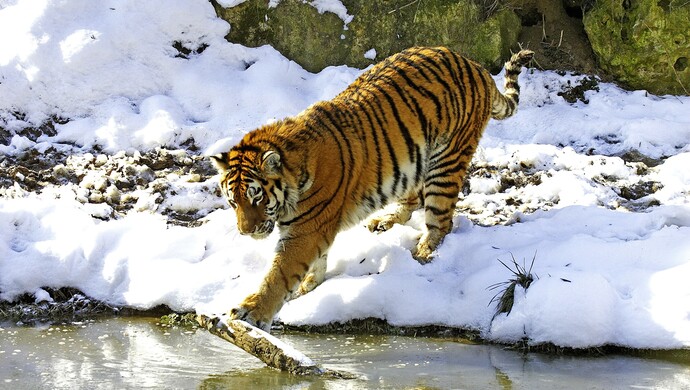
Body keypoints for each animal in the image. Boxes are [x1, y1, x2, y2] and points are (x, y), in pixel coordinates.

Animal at [210, 47, 532, 330]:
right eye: (233, 202)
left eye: (256, 196)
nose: (245, 232)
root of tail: (474, 65)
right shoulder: (309, 229)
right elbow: (313, 262)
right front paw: (309, 285)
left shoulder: (307, 228)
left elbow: (279, 273)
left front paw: (251, 311)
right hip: (412, 162)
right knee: (414, 198)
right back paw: (385, 221)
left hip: (446, 161)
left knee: (441, 220)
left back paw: (424, 250)